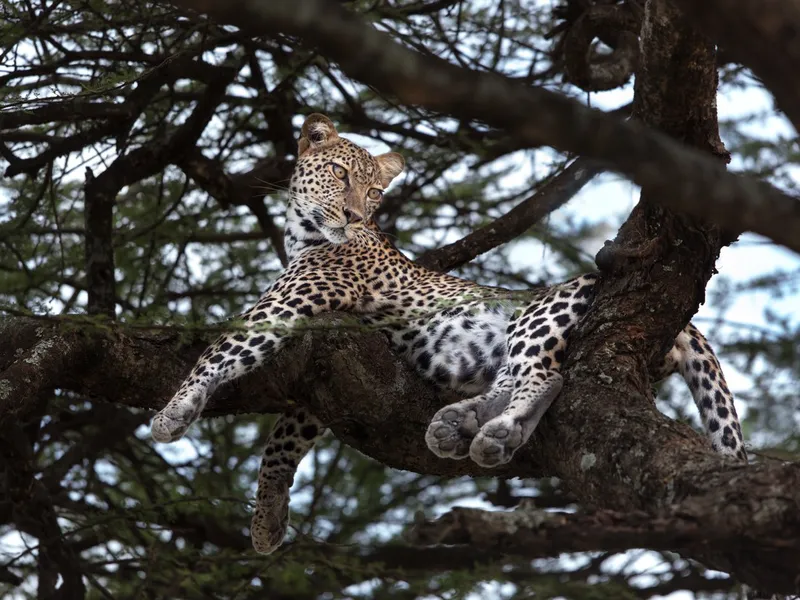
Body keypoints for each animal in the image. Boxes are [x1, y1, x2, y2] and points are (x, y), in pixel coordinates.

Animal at [152, 112, 752, 552]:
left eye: (374, 193)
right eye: (342, 176)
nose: (353, 216)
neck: (303, 235)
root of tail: (686, 323)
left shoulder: (289, 303)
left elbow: (220, 350)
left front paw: (174, 410)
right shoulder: (328, 367)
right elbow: (283, 437)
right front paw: (267, 519)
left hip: (536, 317)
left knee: (542, 378)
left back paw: (490, 432)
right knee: (525, 380)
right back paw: (462, 426)